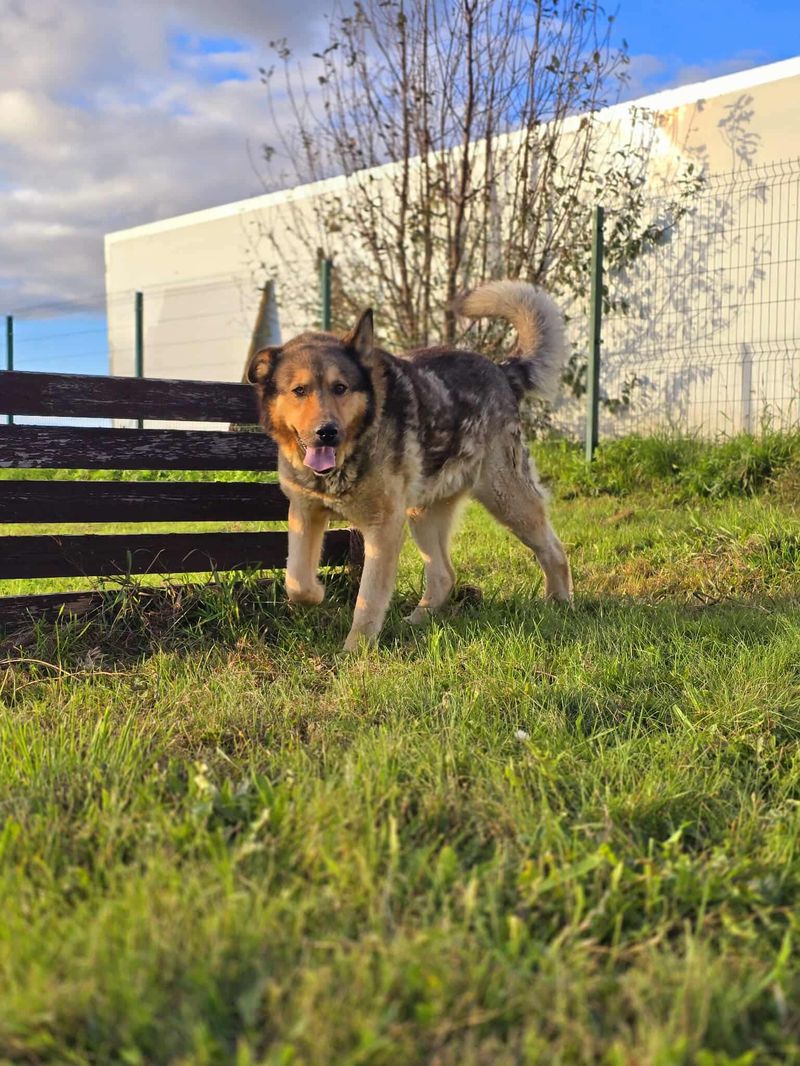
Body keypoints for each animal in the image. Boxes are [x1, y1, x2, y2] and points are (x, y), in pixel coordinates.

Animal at [247, 280, 573, 651]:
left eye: (340, 388)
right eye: (299, 390)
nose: (327, 432)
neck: (351, 452)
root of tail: (503, 370)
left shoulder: (384, 527)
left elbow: (368, 598)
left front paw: (356, 650)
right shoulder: (305, 512)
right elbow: (296, 579)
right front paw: (315, 594)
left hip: (507, 499)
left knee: (553, 550)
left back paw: (560, 603)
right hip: (423, 514)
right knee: (444, 574)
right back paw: (419, 620)